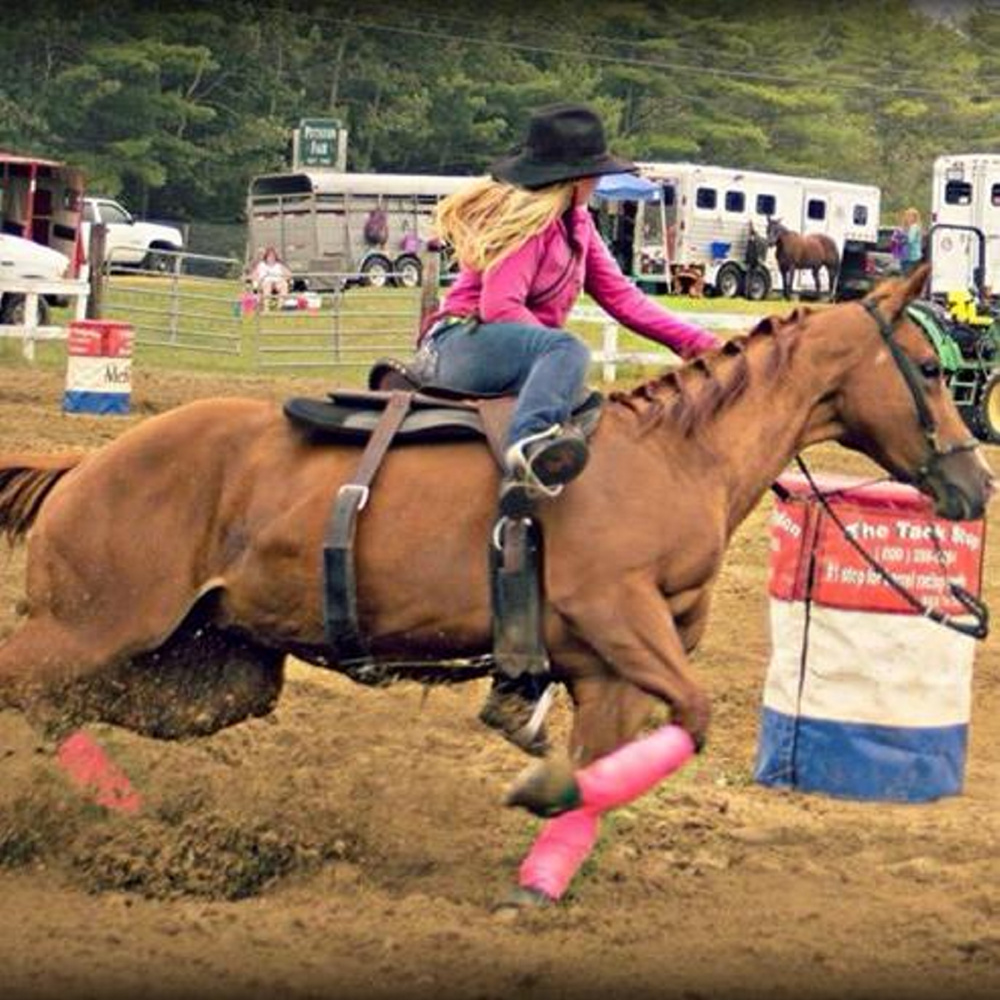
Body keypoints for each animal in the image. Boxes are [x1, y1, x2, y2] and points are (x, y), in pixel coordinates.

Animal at [0, 264, 988, 836]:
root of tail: (86, 466)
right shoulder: (617, 621)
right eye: (928, 370)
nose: (975, 483)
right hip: (87, 628)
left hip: (223, 662)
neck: (676, 455)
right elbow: (696, 714)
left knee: (88, 707)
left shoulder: (604, 670)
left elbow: (608, 763)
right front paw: (542, 792)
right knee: (34, 685)